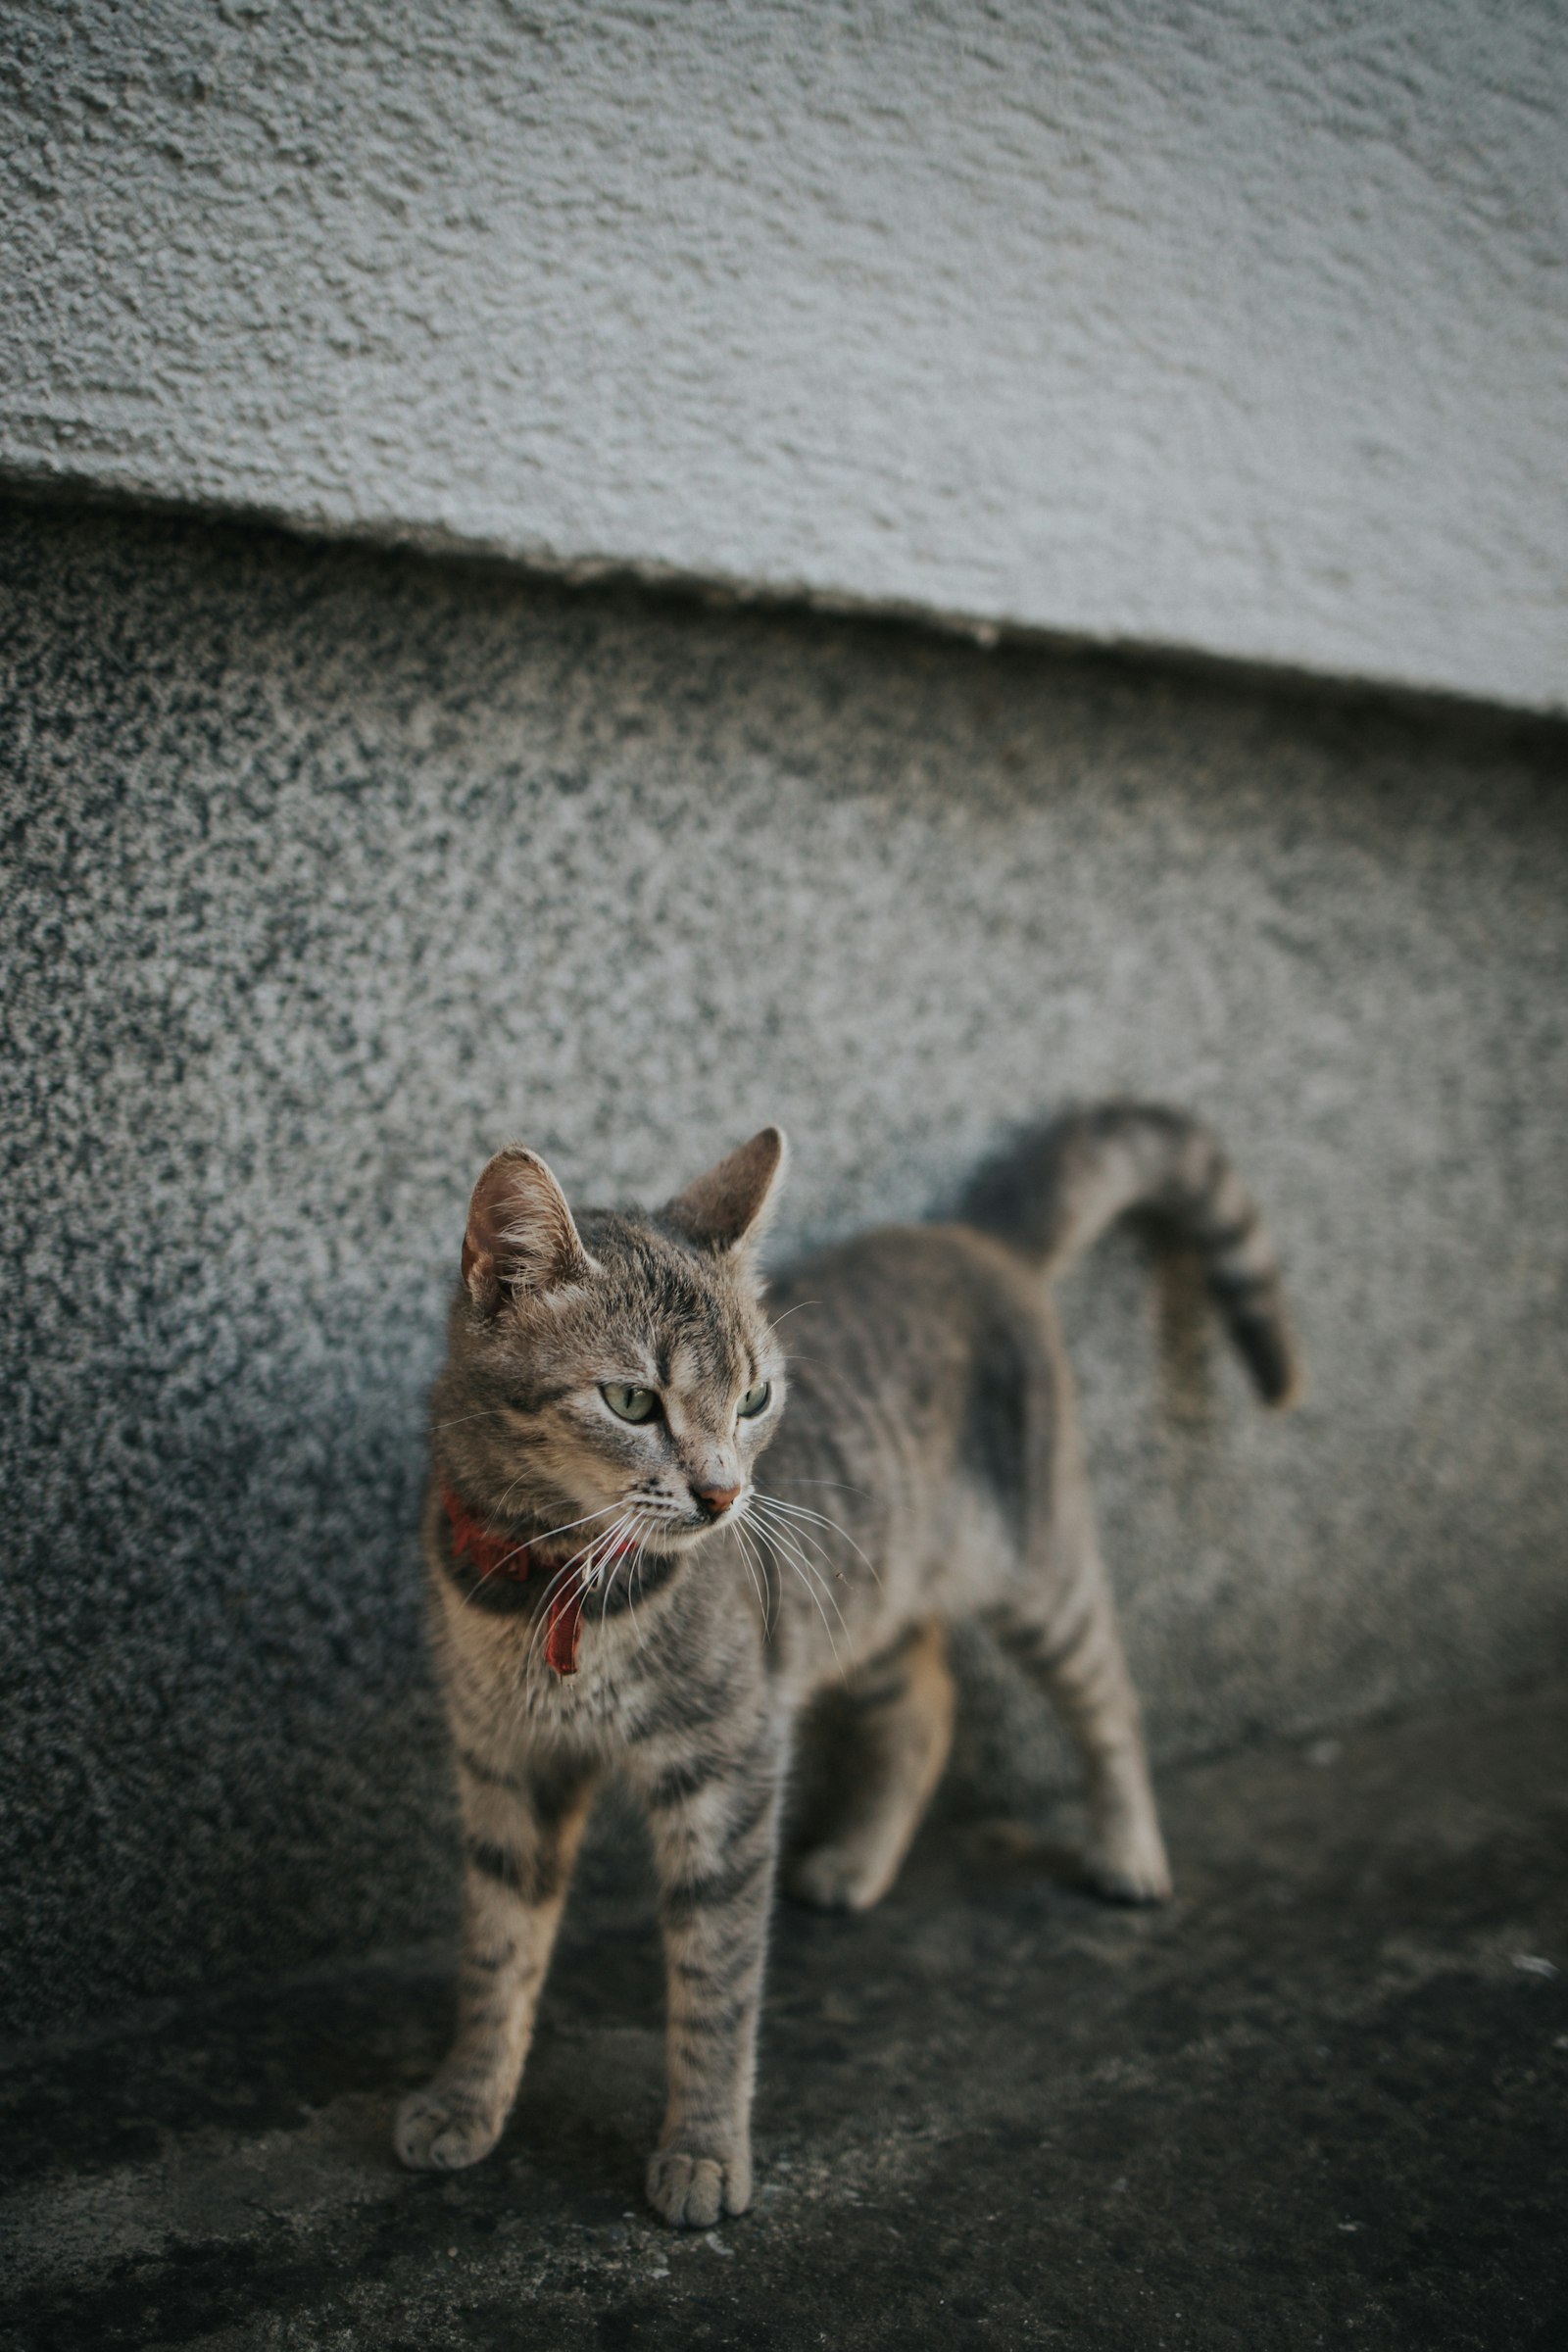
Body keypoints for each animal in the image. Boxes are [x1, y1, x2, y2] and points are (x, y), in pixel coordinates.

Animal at [394, 1101, 1298, 2220]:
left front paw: (703, 2150)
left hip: (1038, 1570)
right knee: (924, 1705)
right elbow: (495, 1956)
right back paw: (860, 1860)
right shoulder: (505, 1768)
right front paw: (466, 2099)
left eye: (753, 1399)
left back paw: (1129, 1852)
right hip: (855, 1610)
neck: (550, 1585)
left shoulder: (728, 1761)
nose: (724, 1496)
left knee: (1107, 1696)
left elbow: (716, 1980)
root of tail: (971, 1241)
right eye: (631, 1402)